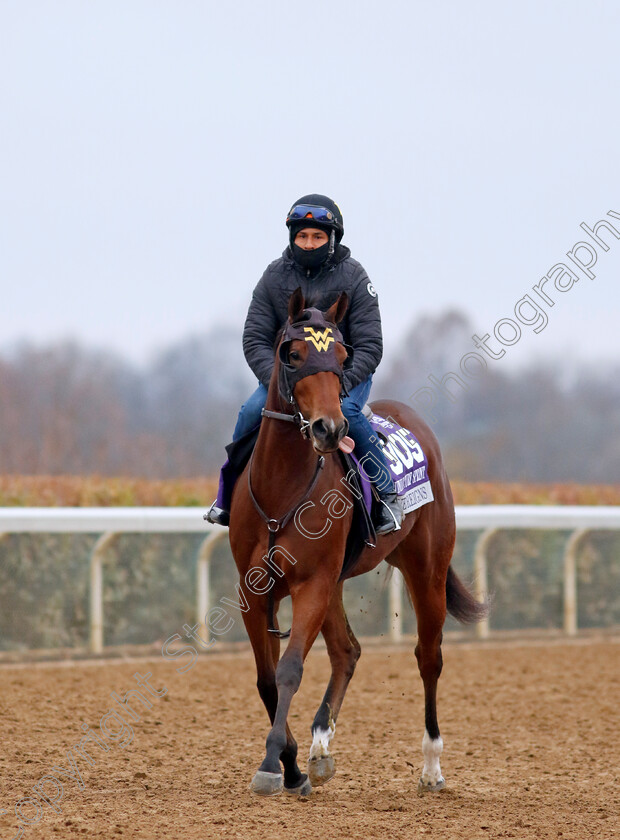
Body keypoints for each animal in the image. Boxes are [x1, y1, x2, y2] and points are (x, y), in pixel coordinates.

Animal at [228, 292, 490, 796]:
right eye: (293, 355)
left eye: (342, 356)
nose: (330, 429)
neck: (281, 491)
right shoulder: (255, 590)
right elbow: (266, 679)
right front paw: (292, 764)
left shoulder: (312, 582)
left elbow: (289, 669)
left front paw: (273, 764)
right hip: (336, 583)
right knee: (347, 652)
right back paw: (320, 746)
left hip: (425, 569)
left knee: (428, 657)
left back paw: (431, 766)